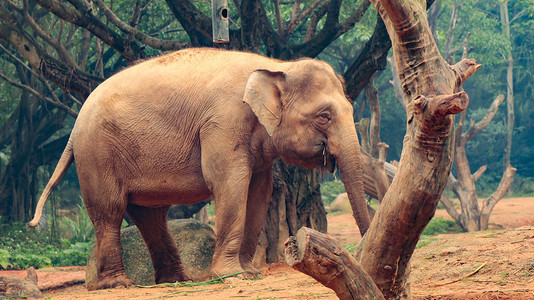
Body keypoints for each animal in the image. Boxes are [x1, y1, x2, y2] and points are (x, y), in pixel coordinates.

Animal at [29, 48, 372, 290]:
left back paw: (177, 281)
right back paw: (118, 284)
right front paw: (231, 276)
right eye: (325, 116)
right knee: (111, 211)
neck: (276, 65)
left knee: (150, 215)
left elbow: (258, 191)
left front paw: (250, 273)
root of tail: (74, 128)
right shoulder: (223, 122)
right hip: (97, 154)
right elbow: (229, 182)